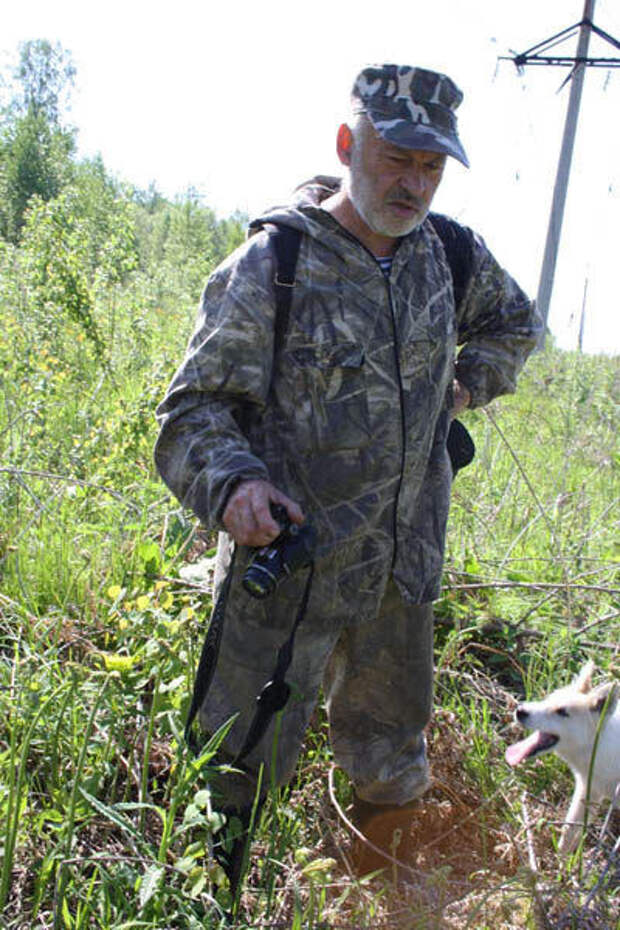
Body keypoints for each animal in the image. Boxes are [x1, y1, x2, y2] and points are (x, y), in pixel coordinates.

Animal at [506, 664, 616, 852]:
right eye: (547, 700)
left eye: (562, 712)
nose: (520, 711)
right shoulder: (587, 789)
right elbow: (568, 832)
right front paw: (561, 860)